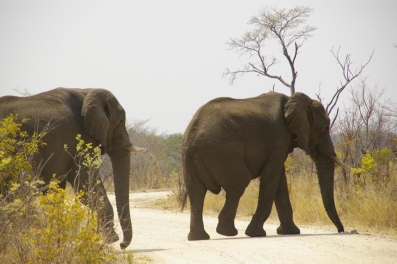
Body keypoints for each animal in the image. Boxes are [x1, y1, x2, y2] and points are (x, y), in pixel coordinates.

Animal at [0, 87, 145, 249]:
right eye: (120, 122)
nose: (122, 245)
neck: (86, 92)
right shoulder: (76, 136)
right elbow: (85, 184)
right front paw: (111, 239)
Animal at [181, 91, 344, 241]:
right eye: (325, 128)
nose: (341, 231)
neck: (293, 100)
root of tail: (192, 133)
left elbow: (279, 180)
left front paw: (290, 232)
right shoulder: (280, 136)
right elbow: (271, 175)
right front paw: (256, 233)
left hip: (191, 157)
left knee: (196, 190)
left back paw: (198, 237)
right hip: (223, 153)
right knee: (239, 183)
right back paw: (227, 232)